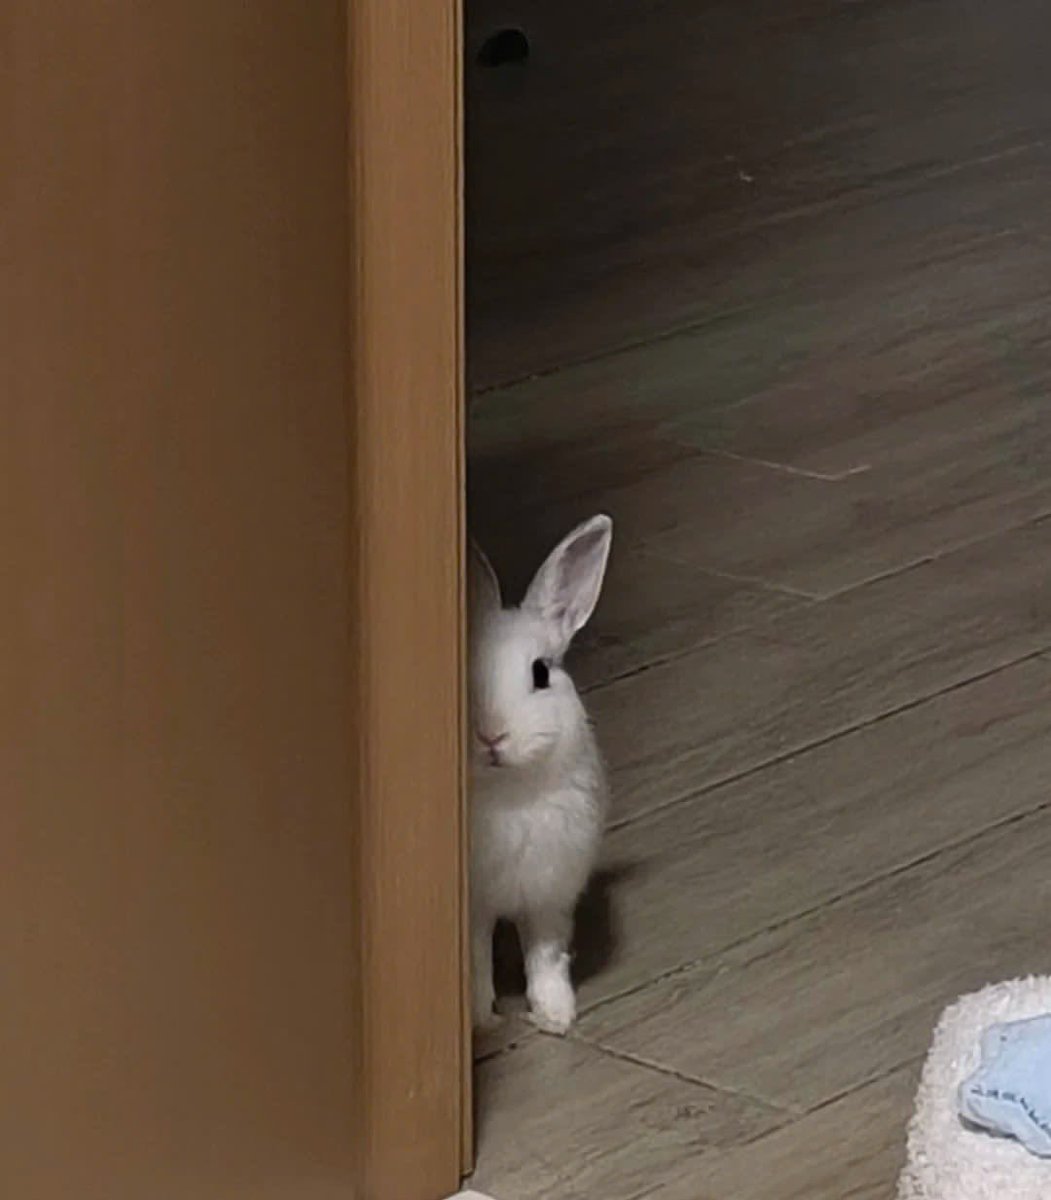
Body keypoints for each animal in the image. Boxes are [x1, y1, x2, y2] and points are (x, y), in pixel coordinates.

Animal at [468, 513, 613, 1035]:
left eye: (540, 673)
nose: (491, 736)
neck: (512, 791)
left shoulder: (550, 897)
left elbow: (546, 956)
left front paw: (556, 1016)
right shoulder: (474, 906)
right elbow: (475, 960)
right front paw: (481, 1019)